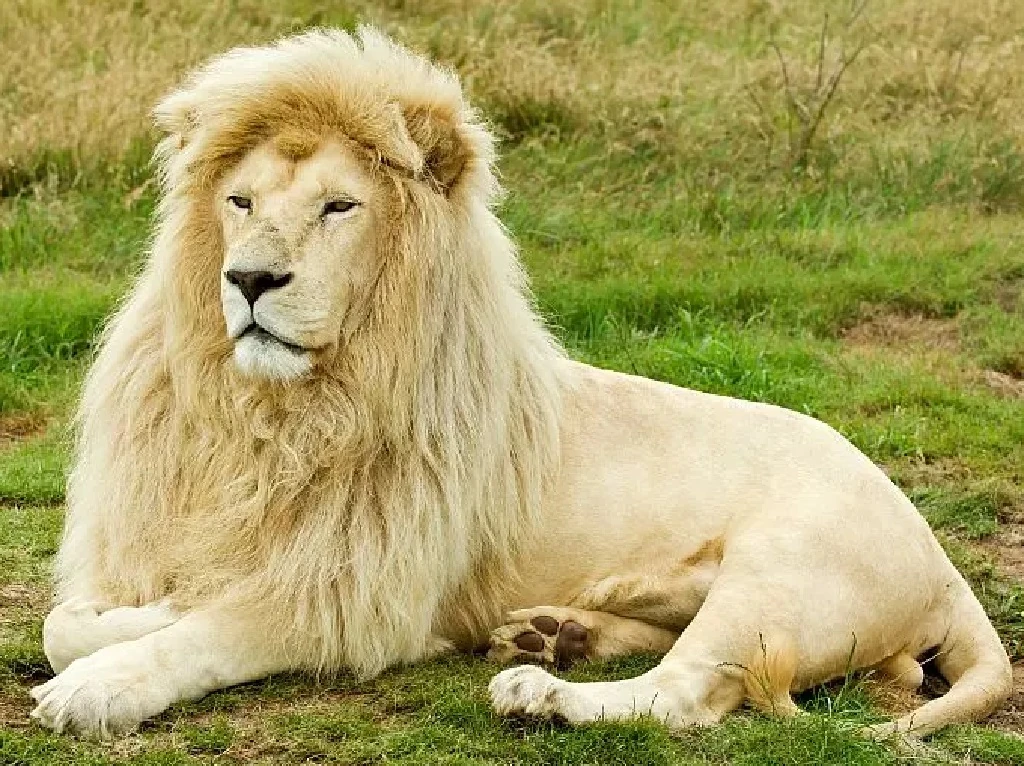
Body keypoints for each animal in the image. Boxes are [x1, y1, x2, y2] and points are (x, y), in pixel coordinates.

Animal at [31, 27, 1010, 740]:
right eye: (240, 202)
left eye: (338, 207)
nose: (249, 280)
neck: (272, 412)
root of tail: (940, 561)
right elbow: (68, 621)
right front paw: (117, 623)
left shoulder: (358, 595)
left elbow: (205, 633)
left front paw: (101, 685)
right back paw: (557, 633)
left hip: (780, 573)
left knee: (685, 695)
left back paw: (541, 689)